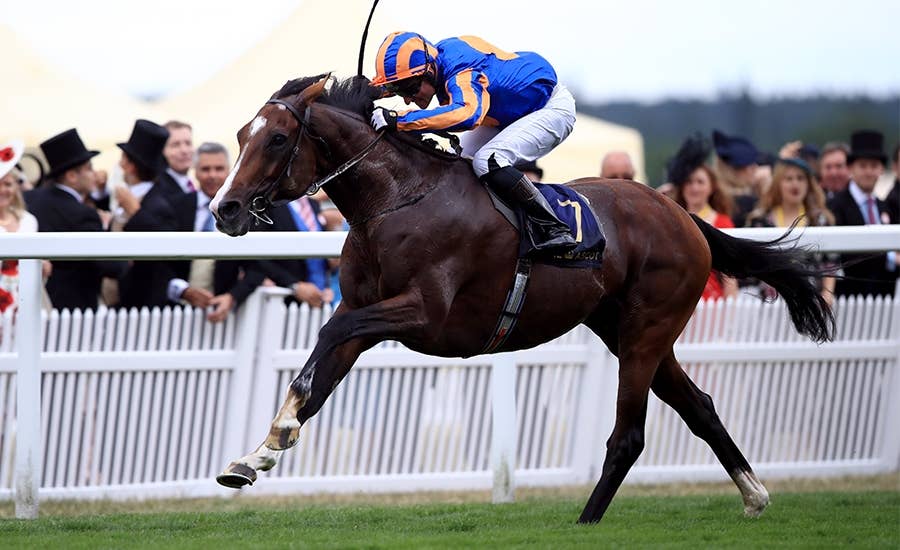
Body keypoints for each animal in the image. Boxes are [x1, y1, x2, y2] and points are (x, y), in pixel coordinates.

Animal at [210, 74, 834, 524]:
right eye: (240, 136)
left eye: (278, 138)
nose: (224, 209)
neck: (396, 199)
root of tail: (681, 214)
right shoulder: (361, 308)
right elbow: (317, 375)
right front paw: (257, 454)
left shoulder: (424, 314)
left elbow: (329, 334)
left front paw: (275, 437)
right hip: (628, 330)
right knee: (699, 406)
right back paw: (754, 496)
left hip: (647, 329)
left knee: (629, 434)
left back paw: (585, 521)